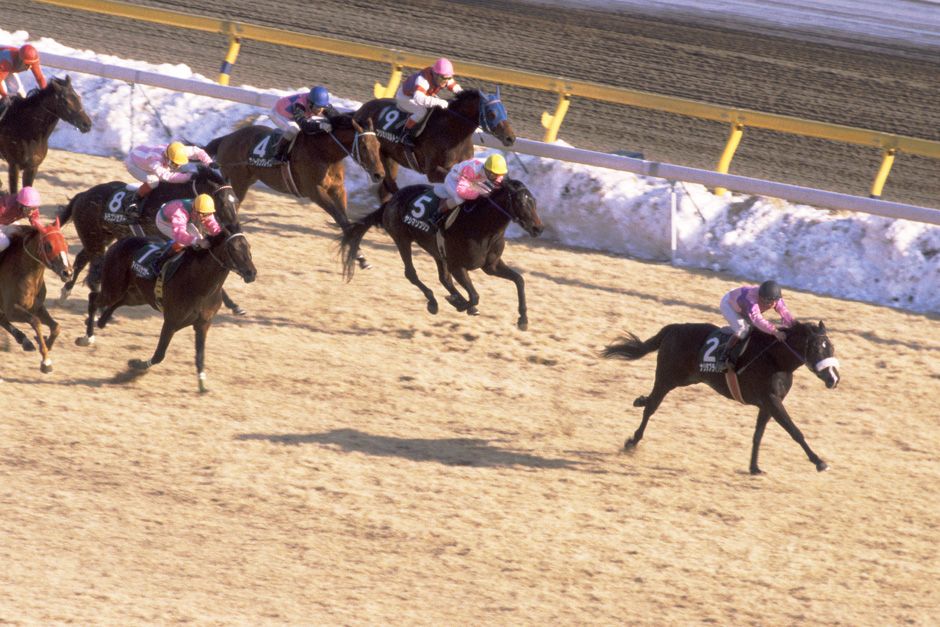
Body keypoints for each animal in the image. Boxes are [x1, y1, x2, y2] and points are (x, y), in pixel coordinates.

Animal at [0, 221, 72, 372]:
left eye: (66, 243)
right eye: (49, 245)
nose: (68, 273)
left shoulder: (37, 307)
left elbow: (56, 327)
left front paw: (46, 344)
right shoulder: (11, 309)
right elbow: (35, 321)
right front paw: (46, 361)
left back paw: (24, 340)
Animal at [342, 178, 540, 328]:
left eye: (534, 202)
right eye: (520, 202)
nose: (538, 228)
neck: (482, 226)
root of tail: (391, 201)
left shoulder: (491, 265)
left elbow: (519, 280)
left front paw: (523, 319)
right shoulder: (457, 266)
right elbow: (475, 296)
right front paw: (460, 304)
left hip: (437, 250)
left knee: (443, 278)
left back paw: (456, 299)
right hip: (402, 239)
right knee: (411, 274)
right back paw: (434, 302)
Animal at [354, 87, 516, 201]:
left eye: (506, 111)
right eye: (492, 114)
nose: (511, 138)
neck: (453, 130)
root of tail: (360, 110)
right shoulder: (432, 171)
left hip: (390, 158)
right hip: (378, 157)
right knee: (391, 186)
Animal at [604, 322, 840, 474]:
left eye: (831, 347)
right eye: (817, 348)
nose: (833, 378)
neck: (774, 359)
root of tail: (674, 328)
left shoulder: (768, 403)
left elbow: (758, 435)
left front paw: (754, 467)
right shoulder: (772, 400)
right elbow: (795, 431)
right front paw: (819, 462)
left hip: (687, 378)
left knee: (649, 402)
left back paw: (639, 400)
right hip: (667, 378)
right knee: (651, 407)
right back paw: (632, 441)